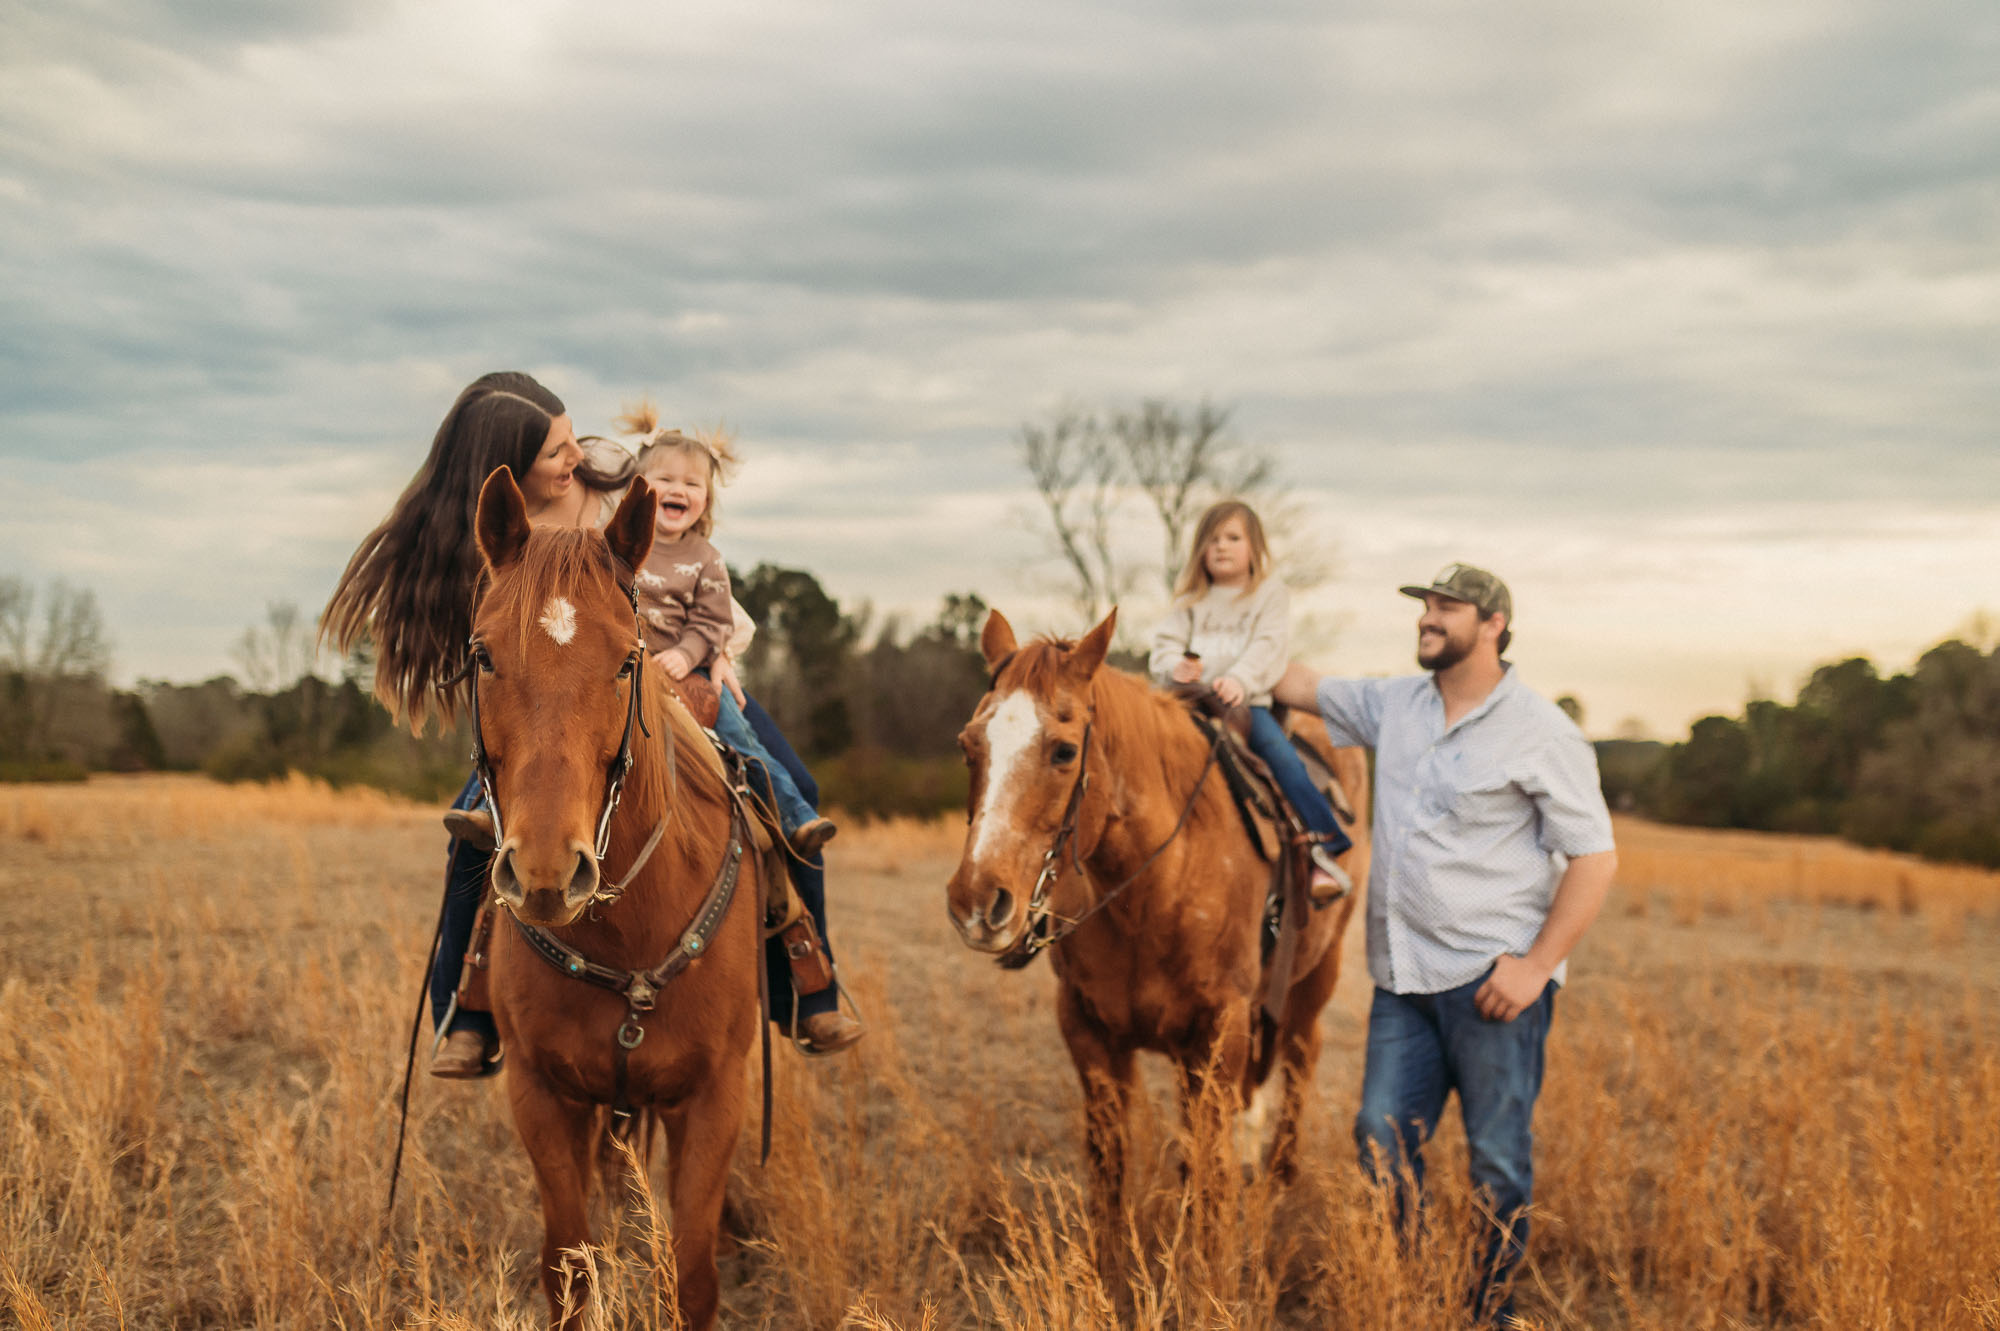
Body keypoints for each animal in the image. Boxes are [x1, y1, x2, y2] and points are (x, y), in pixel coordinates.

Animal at [467, 467, 760, 1330]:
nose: (544, 871)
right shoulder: (541, 1094)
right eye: (483, 654)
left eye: (629, 660)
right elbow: (568, 1266)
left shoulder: (714, 1096)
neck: (629, 931)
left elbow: (691, 1278)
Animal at [945, 608, 1369, 1244]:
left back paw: (1280, 1177)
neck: (1148, 893)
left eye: (1064, 751)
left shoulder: (1219, 1033)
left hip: (1318, 974)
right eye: (969, 746)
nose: (975, 901)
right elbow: (1111, 1178)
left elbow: (1211, 1182)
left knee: (1300, 1057)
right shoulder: (1090, 1036)